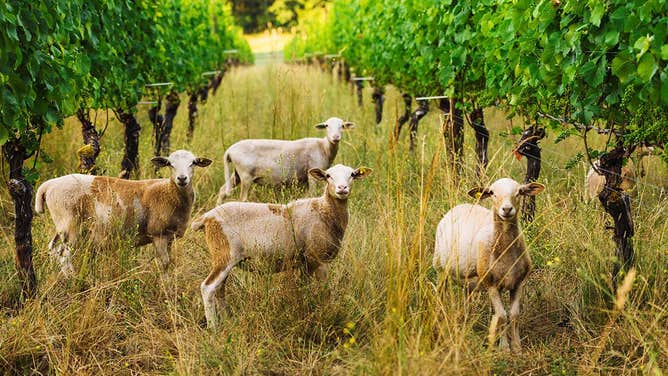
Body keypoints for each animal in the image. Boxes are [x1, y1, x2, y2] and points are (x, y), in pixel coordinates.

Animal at [34, 148, 211, 274]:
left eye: (193, 163)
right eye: (169, 164)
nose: (182, 179)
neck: (168, 193)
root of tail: (49, 185)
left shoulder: (169, 237)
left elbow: (170, 263)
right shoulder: (158, 234)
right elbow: (165, 264)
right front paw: (166, 290)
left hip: (61, 225)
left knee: (53, 249)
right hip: (70, 225)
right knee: (64, 256)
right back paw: (71, 279)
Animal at [193, 163, 374, 328]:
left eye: (352, 174)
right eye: (328, 176)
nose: (342, 188)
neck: (324, 211)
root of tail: (207, 218)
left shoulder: (304, 263)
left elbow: (303, 288)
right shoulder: (318, 258)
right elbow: (325, 290)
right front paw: (327, 311)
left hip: (223, 258)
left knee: (220, 289)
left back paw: (227, 320)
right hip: (225, 254)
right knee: (208, 288)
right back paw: (213, 327)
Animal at [218, 117, 354, 203]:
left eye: (342, 126)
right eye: (326, 126)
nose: (335, 137)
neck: (323, 147)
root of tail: (229, 150)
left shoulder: (304, 179)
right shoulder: (311, 173)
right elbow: (313, 194)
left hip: (237, 174)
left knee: (222, 191)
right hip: (245, 175)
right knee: (243, 199)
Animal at [434, 178, 548, 352]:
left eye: (519, 192)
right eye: (492, 192)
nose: (506, 209)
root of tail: (460, 206)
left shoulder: (519, 283)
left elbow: (514, 315)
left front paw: (517, 347)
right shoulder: (491, 285)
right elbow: (501, 316)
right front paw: (504, 348)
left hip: (467, 279)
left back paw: (468, 320)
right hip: (441, 270)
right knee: (439, 294)